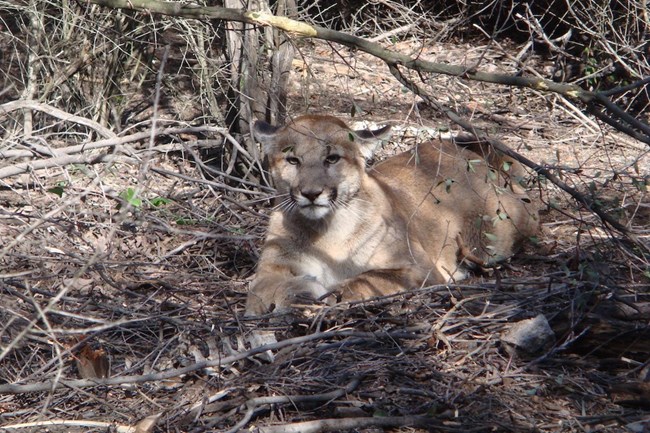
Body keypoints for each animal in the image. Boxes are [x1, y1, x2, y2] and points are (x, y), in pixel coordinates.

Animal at [244, 115, 536, 314]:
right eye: (293, 160)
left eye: (332, 158)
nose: (311, 193)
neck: (326, 233)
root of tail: (465, 154)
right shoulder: (272, 269)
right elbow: (263, 288)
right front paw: (299, 295)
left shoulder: (418, 267)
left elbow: (368, 278)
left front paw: (335, 293)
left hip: (495, 234)